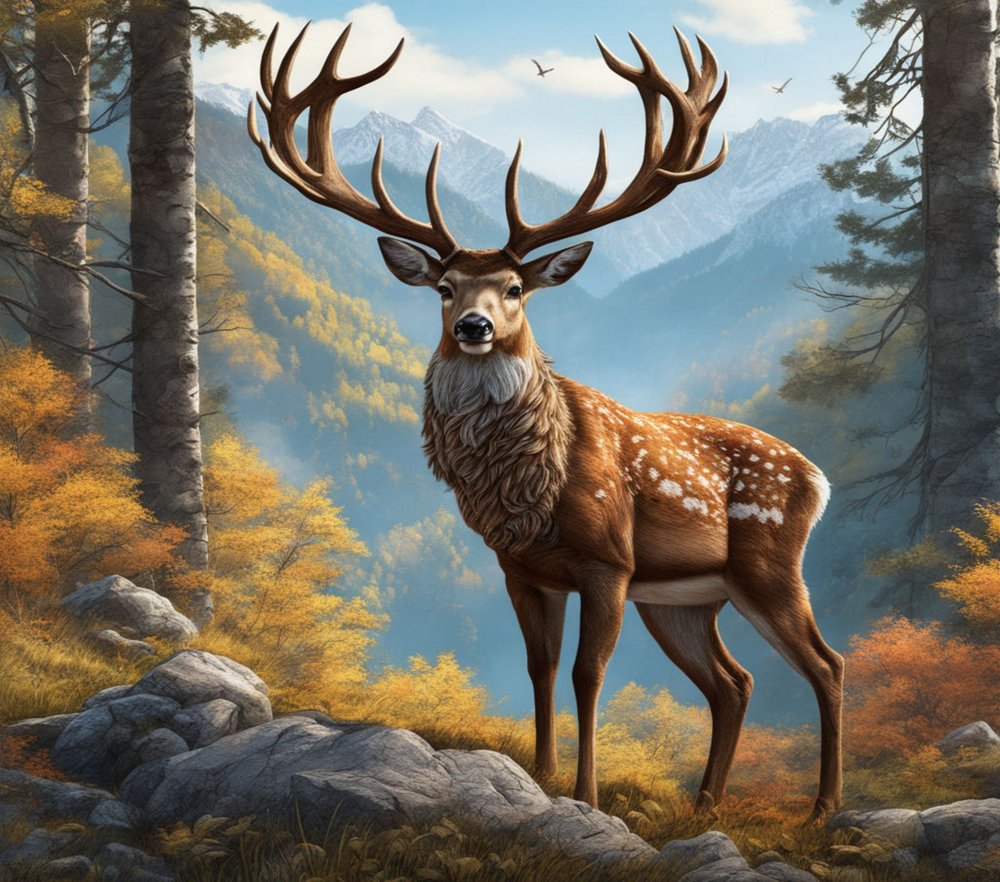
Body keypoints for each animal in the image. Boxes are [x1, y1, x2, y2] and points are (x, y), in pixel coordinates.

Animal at [248, 21, 844, 823]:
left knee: (827, 663)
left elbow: (588, 675)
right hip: (686, 601)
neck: (536, 483)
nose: (471, 326)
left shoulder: (608, 562)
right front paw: (539, 776)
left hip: (768, 562)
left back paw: (823, 810)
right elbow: (540, 668)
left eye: (514, 288)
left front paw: (586, 796)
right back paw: (704, 806)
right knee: (734, 682)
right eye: (444, 286)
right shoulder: (521, 568)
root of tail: (817, 476)